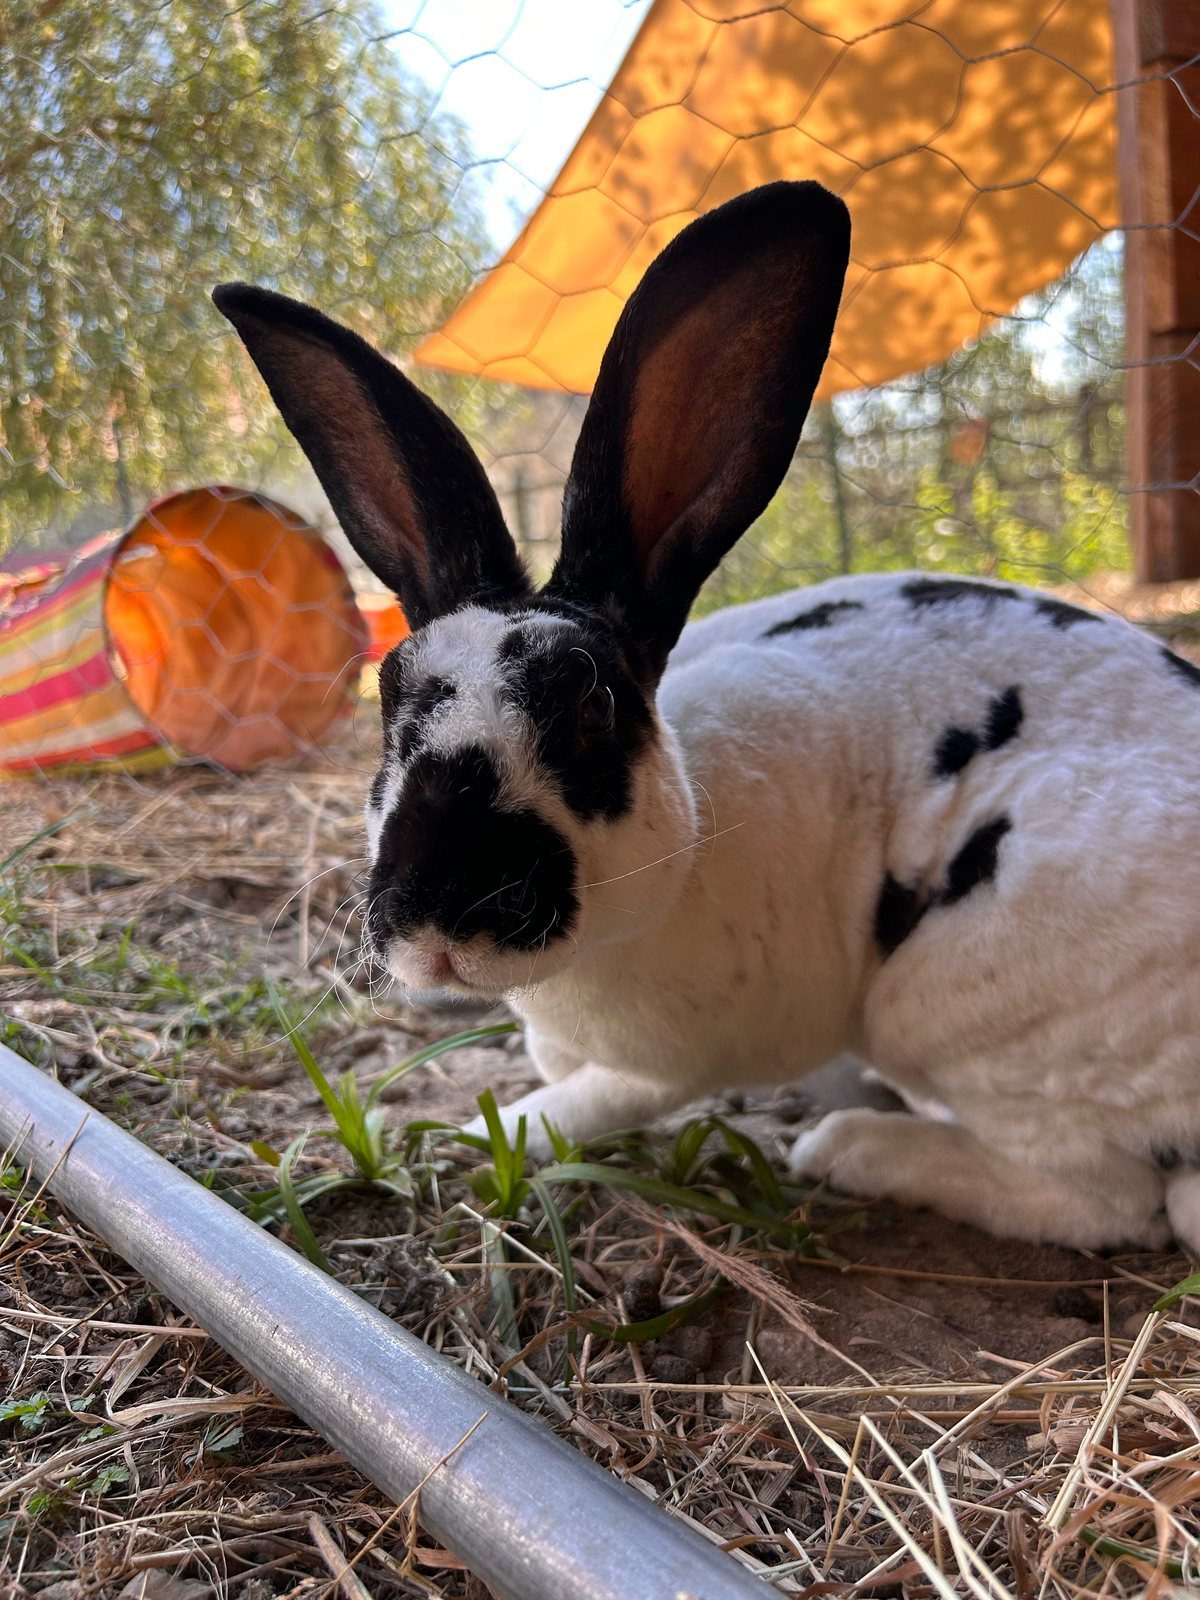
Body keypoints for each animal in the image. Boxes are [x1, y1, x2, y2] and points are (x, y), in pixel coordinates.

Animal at [215, 180, 1200, 1257]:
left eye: (592, 704)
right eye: (390, 697)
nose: (436, 921)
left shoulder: (679, 1058)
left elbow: (589, 1101)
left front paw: (481, 1129)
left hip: (954, 999)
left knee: (1107, 1199)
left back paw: (851, 1148)